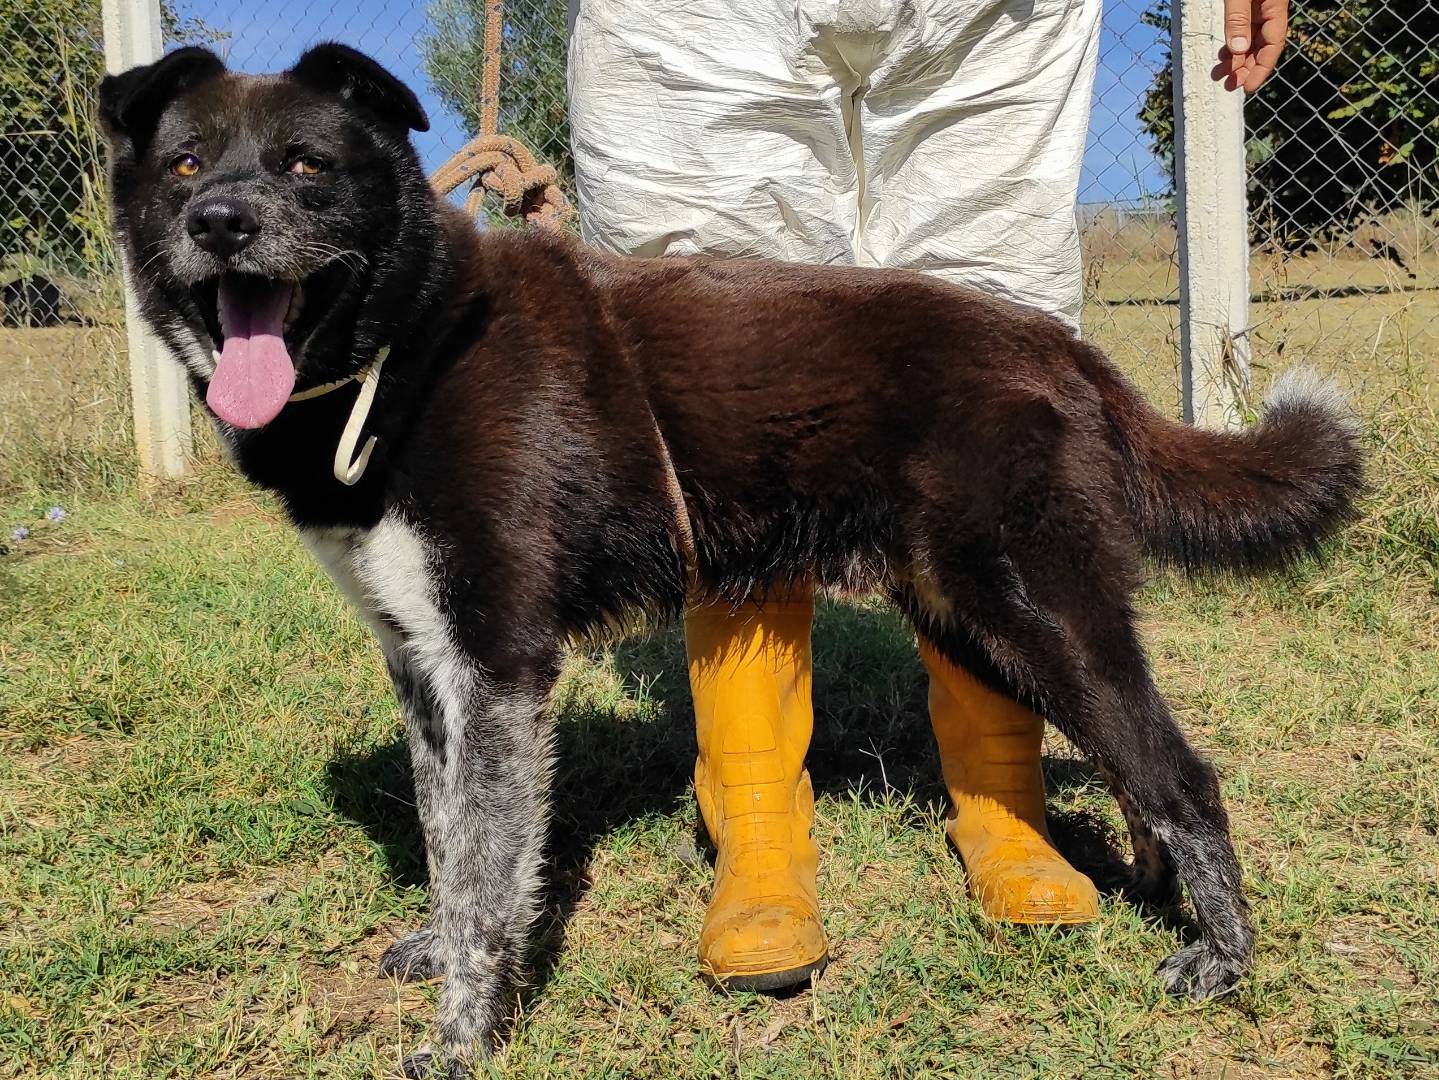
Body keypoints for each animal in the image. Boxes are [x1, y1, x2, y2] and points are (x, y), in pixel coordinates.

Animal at [98, 44, 1358, 1080]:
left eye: (307, 165)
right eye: (185, 163)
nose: (220, 221)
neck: (412, 336)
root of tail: (1065, 349)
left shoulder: (496, 668)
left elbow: (486, 875)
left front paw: (464, 1038)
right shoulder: (424, 667)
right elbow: (448, 839)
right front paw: (436, 953)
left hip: (1027, 603)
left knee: (1179, 770)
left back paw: (1222, 957)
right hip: (978, 607)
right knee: (1135, 759)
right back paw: (1150, 886)